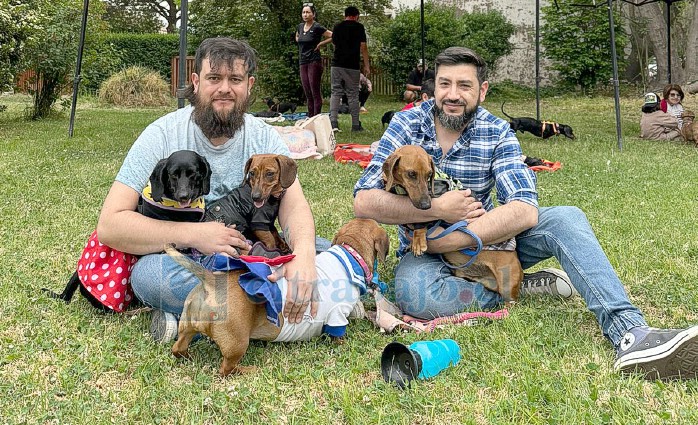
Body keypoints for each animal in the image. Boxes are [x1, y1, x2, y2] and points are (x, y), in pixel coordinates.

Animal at [167, 219, 386, 374]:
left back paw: (189, 357)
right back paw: (247, 370)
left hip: (187, 327)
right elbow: (338, 335)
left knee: (177, 348)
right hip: (237, 343)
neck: (351, 254)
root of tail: (211, 280)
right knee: (225, 369)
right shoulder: (337, 316)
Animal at [380, 144, 520, 304]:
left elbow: (421, 222)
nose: (427, 205)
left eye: (429, 174)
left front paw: (418, 240)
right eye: (411, 174)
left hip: (507, 282)